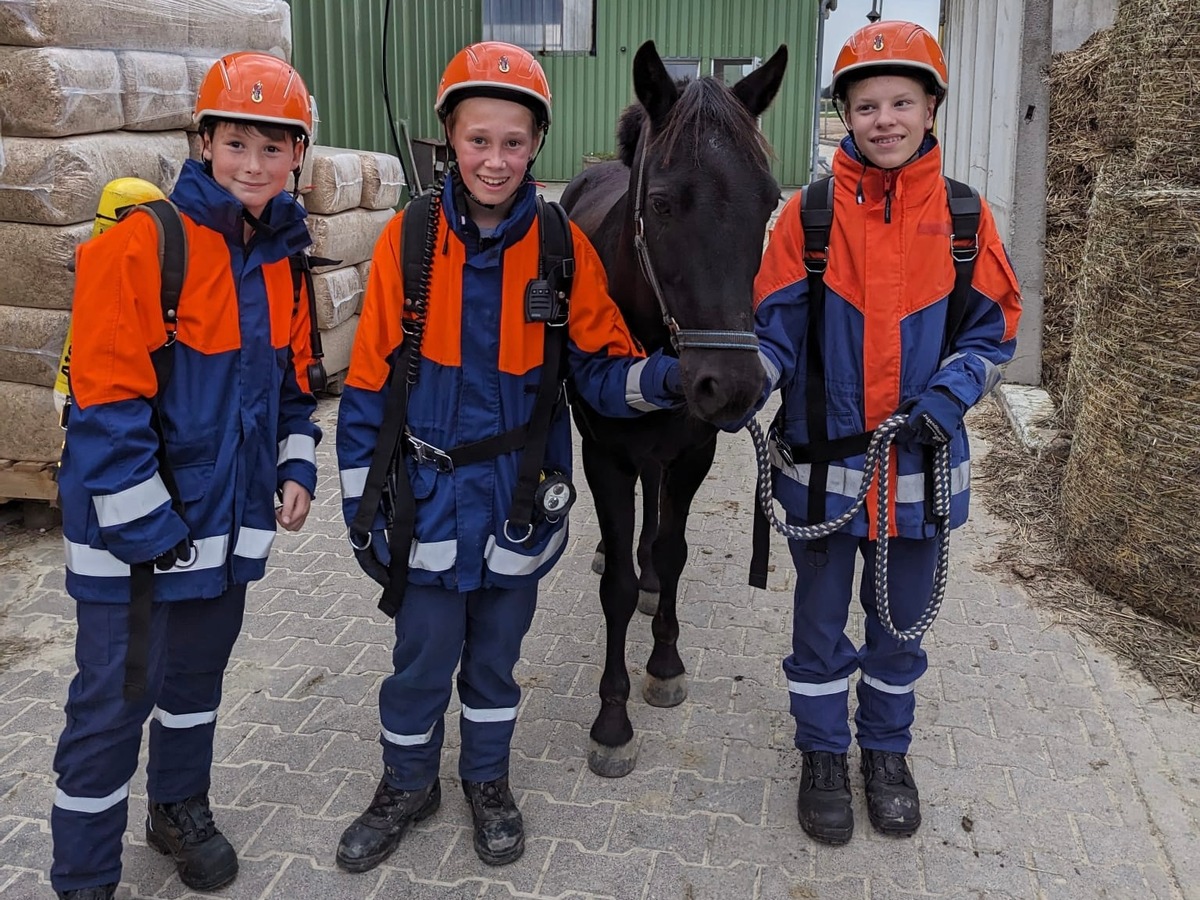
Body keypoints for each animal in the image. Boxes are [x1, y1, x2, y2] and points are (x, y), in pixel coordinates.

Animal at [561, 40, 787, 777]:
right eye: (660, 205)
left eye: (769, 203)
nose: (734, 387)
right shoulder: (604, 454)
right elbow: (617, 588)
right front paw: (612, 721)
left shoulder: (694, 451)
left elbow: (676, 547)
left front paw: (664, 661)